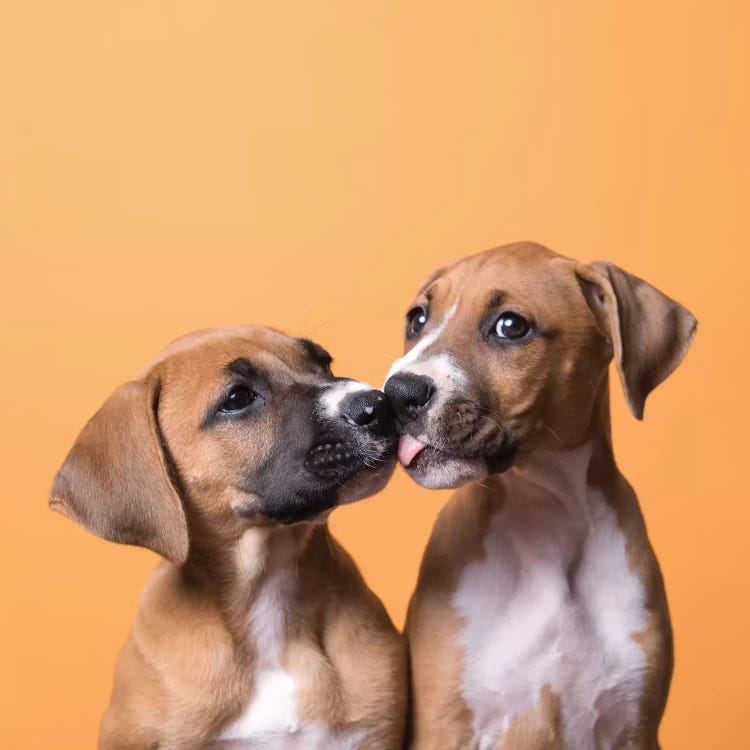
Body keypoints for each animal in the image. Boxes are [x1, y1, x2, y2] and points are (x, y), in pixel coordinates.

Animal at [388, 244, 700, 748]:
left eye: (510, 326)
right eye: (418, 319)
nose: (394, 394)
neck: (546, 518)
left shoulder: (634, 726)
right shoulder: (443, 725)